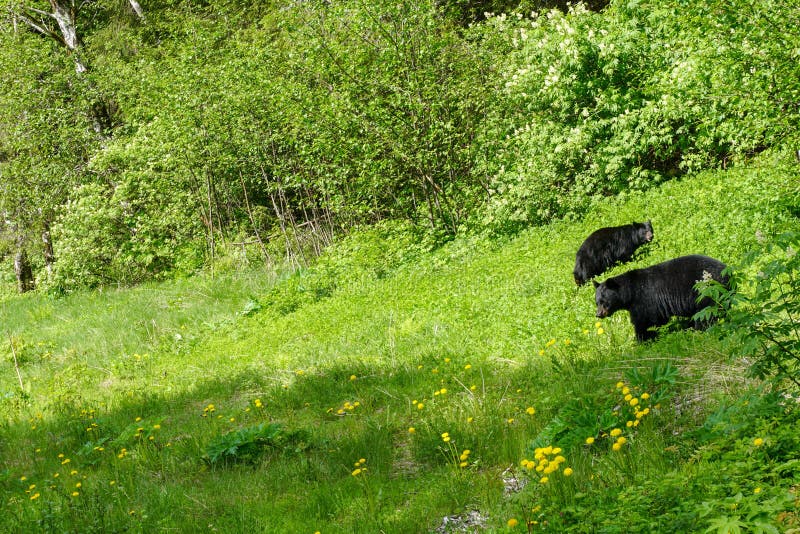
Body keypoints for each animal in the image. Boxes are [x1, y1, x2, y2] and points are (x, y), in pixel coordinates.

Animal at [593, 254, 729, 342]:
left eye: (604, 302)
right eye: (597, 302)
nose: (598, 314)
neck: (630, 292)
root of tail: (726, 272)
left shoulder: (644, 300)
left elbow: (645, 321)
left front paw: (642, 339)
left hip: (705, 293)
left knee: (706, 315)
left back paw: (700, 330)